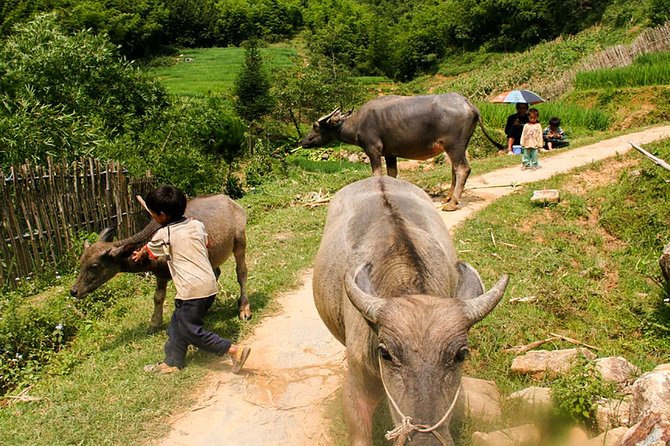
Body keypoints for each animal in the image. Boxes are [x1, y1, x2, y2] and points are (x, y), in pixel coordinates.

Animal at [69, 193, 251, 330]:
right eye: (81, 262)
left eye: (94, 266)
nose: (74, 291)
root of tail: (231, 202)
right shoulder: (161, 275)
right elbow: (158, 297)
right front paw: (155, 323)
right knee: (216, 273)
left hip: (239, 242)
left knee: (241, 272)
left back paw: (244, 308)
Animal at [300, 92, 504, 211]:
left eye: (315, 126)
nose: (303, 141)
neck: (357, 123)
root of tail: (469, 105)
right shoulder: (390, 154)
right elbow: (392, 174)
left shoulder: (373, 149)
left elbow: (377, 174)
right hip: (456, 147)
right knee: (455, 168)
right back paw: (447, 197)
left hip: (454, 145)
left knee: (462, 168)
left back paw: (453, 203)